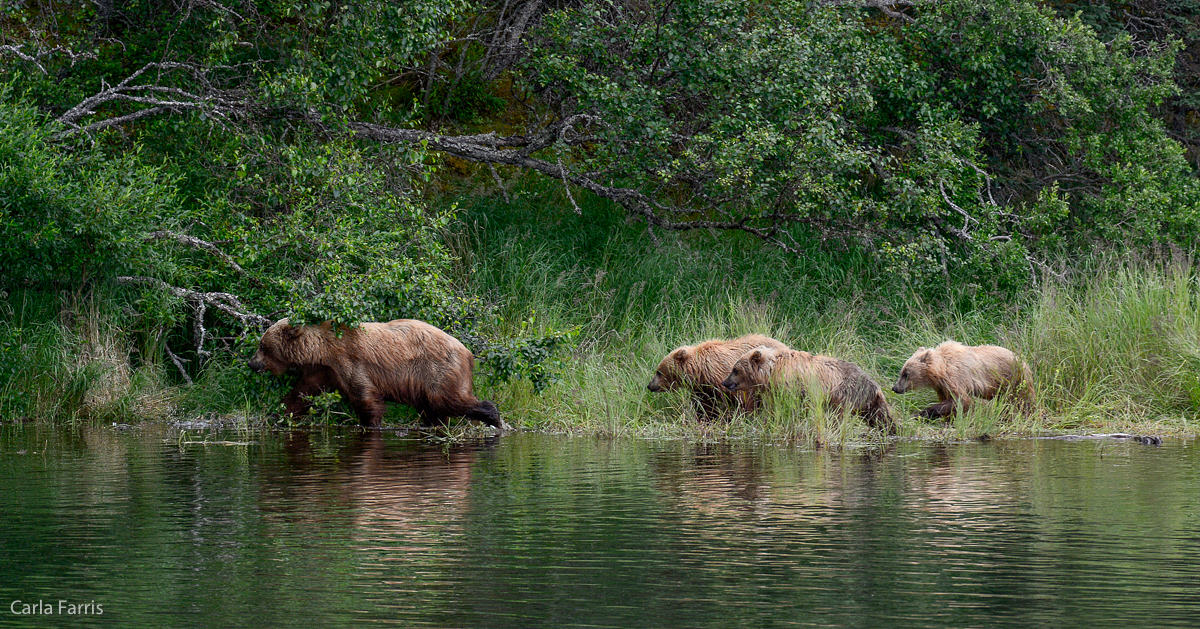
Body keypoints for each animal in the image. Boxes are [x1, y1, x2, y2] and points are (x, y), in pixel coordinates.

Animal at [248, 316, 506, 429]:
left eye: (262, 345)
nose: (251, 363)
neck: (322, 350)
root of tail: (468, 352)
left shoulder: (349, 360)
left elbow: (365, 396)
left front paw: (368, 424)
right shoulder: (323, 371)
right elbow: (302, 393)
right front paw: (277, 413)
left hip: (437, 370)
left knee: (446, 399)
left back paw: (492, 415)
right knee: (434, 407)